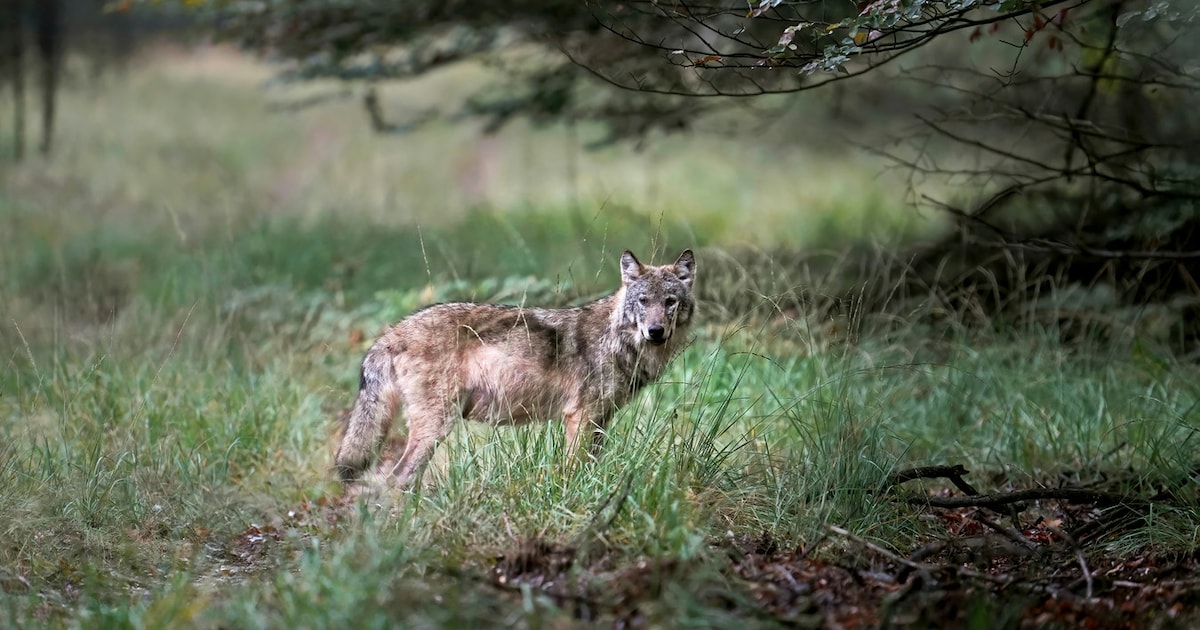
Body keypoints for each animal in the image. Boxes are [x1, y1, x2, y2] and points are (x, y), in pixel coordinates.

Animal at [334, 249, 697, 490]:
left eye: (669, 302)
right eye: (643, 301)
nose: (655, 332)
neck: (617, 341)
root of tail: (392, 332)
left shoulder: (600, 420)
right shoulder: (580, 417)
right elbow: (573, 470)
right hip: (436, 427)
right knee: (397, 479)